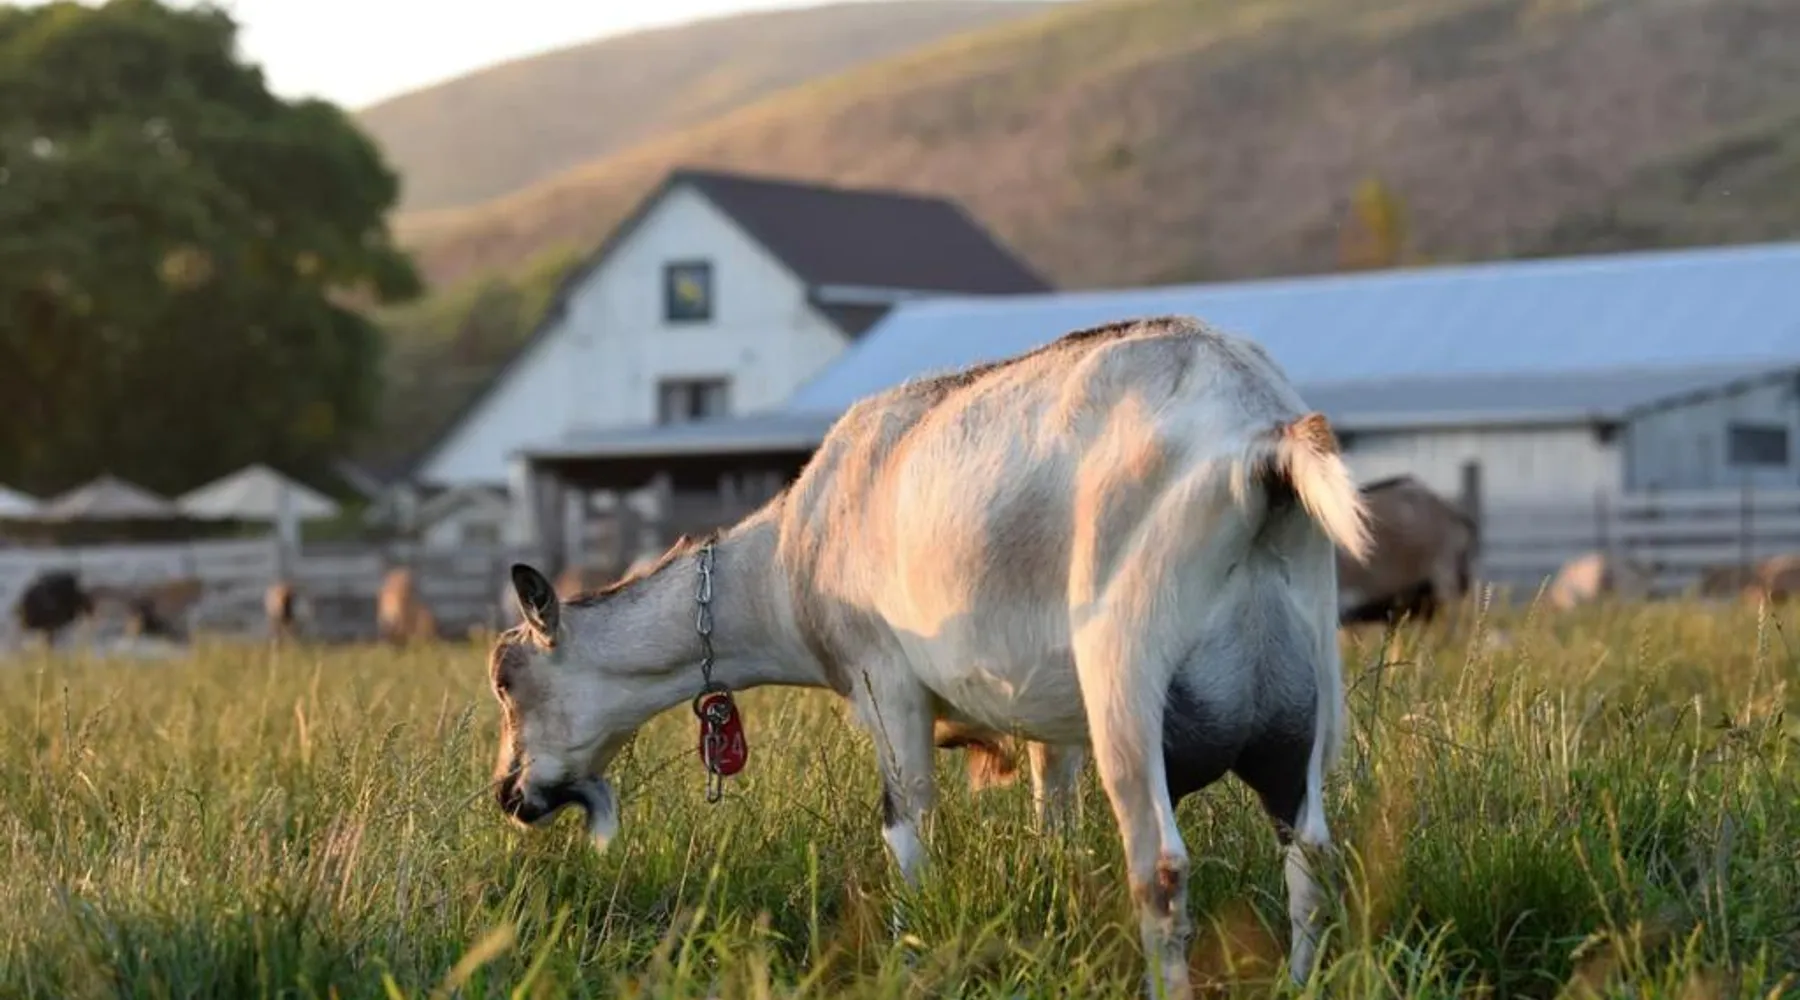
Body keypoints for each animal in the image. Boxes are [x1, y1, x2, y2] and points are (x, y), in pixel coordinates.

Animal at [483, 316, 1372, 996]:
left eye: (507, 679)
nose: (510, 795)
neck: (787, 558)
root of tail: (1260, 437)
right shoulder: (1051, 717)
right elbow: (1053, 820)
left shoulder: (886, 681)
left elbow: (906, 824)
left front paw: (910, 953)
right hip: (1306, 692)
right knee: (1311, 854)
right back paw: (1303, 980)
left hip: (1127, 670)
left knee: (1159, 865)